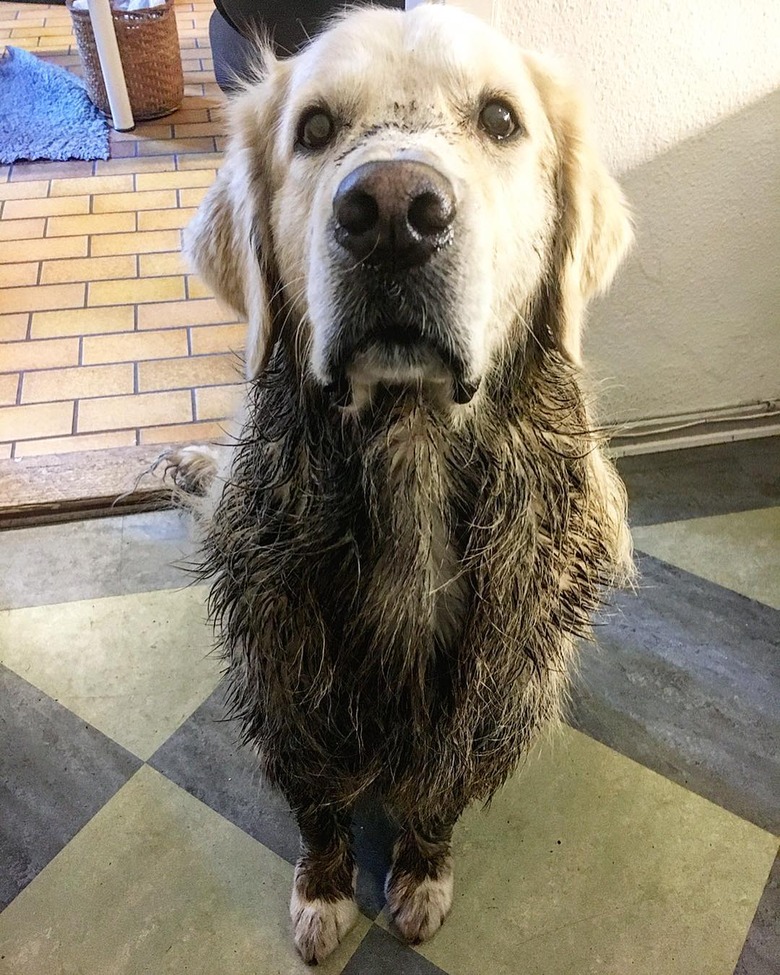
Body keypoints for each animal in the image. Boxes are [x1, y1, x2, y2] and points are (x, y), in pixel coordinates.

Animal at [165, 3, 632, 964]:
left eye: (501, 118)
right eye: (313, 129)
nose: (391, 213)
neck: (410, 444)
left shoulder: (493, 694)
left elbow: (436, 798)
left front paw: (421, 874)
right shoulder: (286, 678)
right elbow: (317, 809)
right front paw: (323, 893)